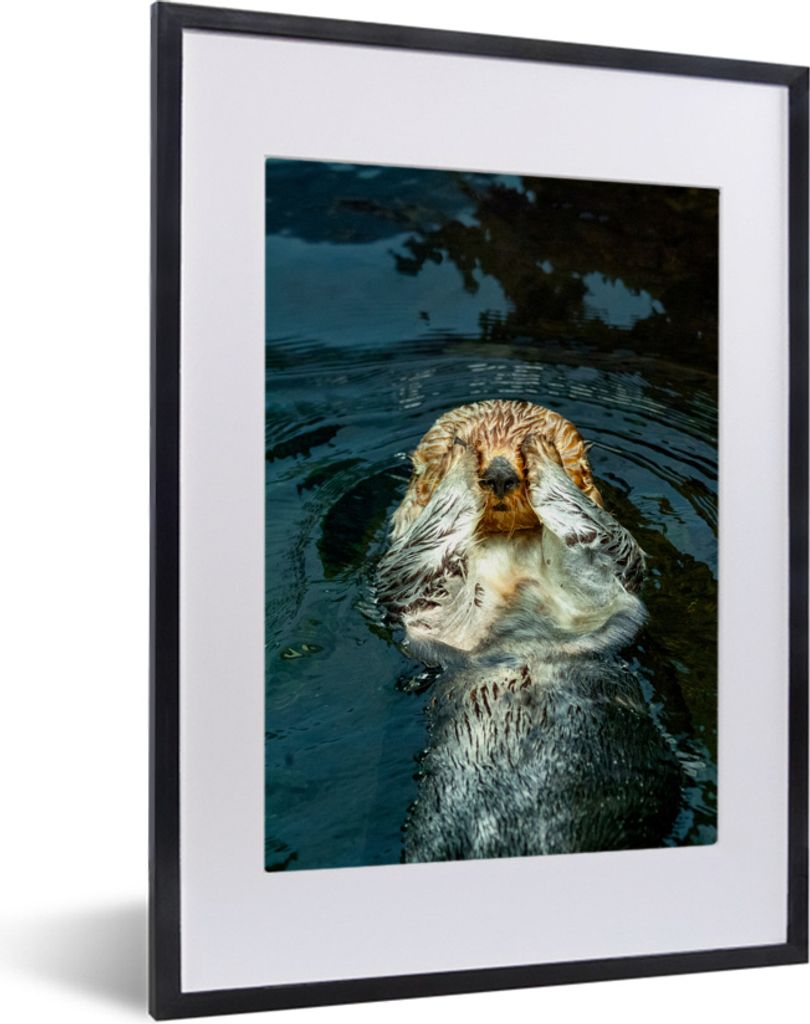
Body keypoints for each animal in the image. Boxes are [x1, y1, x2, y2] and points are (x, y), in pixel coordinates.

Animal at [376, 399, 681, 863]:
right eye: (468, 442)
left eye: (518, 446)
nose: (500, 472)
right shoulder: (416, 590)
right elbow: (425, 549)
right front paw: (458, 460)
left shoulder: (606, 579)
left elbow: (597, 534)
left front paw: (544, 453)